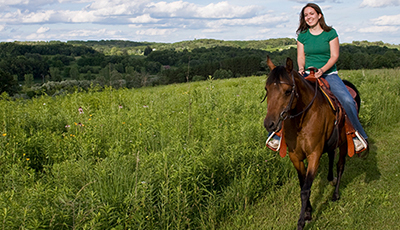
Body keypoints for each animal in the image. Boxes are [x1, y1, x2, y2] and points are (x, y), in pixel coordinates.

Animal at [262, 56, 360, 229]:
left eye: (288, 91)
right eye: (267, 90)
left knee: (340, 166)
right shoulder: (295, 156)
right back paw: (330, 178)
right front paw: (308, 211)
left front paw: (302, 220)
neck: (302, 119)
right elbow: (302, 185)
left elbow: (306, 189)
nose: (270, 124)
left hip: (344, 143)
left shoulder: (314, 154)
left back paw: (335, 194)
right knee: (331, 155)